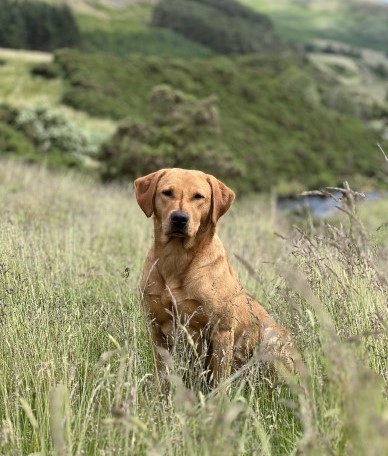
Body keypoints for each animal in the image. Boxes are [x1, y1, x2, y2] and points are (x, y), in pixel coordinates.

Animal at [134, 168, 294, 384]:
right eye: (167, 192)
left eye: (198, 196)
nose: (179, 218)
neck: (176, 258)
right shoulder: (156, 331)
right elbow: (163, 378)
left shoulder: (221, 333)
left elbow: (219, 381)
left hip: (272, 338)